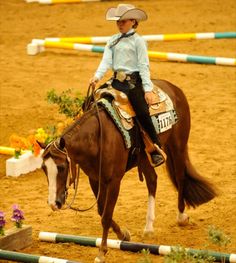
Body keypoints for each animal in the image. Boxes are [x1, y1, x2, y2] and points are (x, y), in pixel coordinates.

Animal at [39, 80, 217, 263]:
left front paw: (101, 252)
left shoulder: (114, 181)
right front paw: (123, 235)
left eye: (61, 168)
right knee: (152, 181)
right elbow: (102, 211)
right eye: (44, 169)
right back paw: (149, 227)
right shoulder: (95, 179)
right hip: (145, 158)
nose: (53, 203)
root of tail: (174, 88)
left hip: (178, 145)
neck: (98, 137)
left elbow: (106, 215)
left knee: (180, 177)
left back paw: (181, 217)